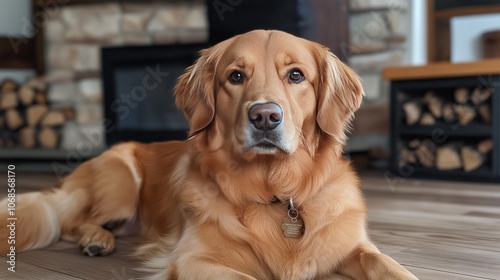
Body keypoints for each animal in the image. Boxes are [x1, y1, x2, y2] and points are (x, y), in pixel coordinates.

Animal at [0, 29, 416, 278]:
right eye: (236, 76)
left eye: (296, 75)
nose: (265, 117)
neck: (276, 194)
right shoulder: (194, 260)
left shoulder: (352, 245)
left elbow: (384, 262)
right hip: (121, 179)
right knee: (73, 221)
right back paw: (95, 239)